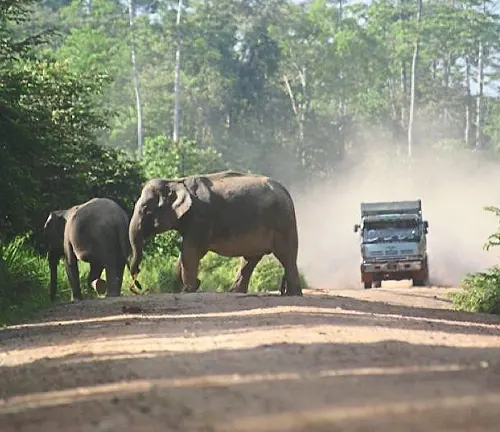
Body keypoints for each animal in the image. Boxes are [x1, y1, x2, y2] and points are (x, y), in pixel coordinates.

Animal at [129, 170, 300, 296]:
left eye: (146, 209)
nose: (138, 285)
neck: (175, 181)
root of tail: (286, 192)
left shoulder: (201, 217)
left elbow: (191, 250)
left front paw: (188, 290)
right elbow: (185, 253)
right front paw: (188, 285)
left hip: (284, 222)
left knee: (286, 256)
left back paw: (293, 294)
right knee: (250, 259)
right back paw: (235, 292)